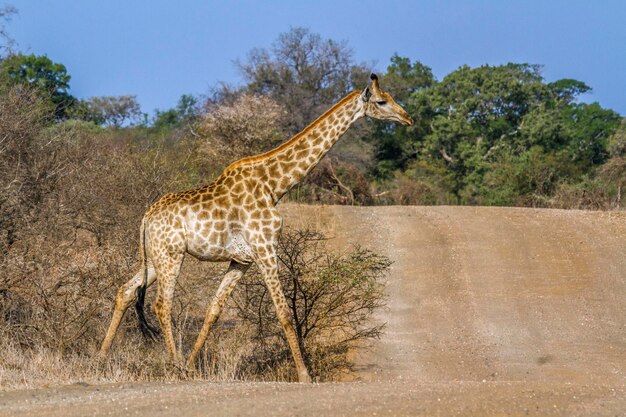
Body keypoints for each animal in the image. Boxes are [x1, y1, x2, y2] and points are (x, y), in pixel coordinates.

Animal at [98, 74, 410, 380]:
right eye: (382, 101)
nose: (407, 118)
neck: (275, 185)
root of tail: (146, 216)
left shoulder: (242, 260)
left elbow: (214, 310)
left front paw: (191, 364)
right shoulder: (265, 248)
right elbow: (284, 312)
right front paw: (304, 375)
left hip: (153, 257)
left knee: (126, 291)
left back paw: (103, 359)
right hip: (170, 254)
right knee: (162, 304)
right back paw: (173, 365)